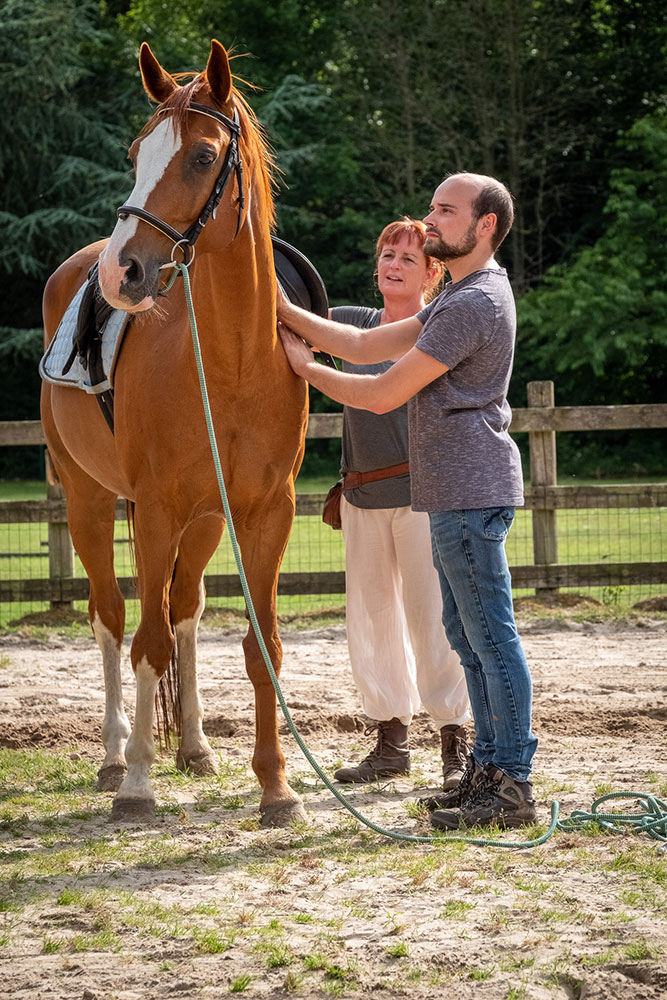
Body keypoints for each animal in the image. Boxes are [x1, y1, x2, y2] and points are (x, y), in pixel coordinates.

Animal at [43, 39, 310, 824]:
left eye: (200, 157)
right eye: (138, 153)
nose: (121, 271)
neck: (230, 362)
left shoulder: (264, 515)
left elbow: (259, 645)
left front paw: (276, 786)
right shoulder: (156, 510)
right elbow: (145, 642)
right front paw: (137, 782)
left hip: (204, 522)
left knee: (185, 612)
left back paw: (193, 746)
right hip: (90, 502)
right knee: (109, 617)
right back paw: (112, 756)